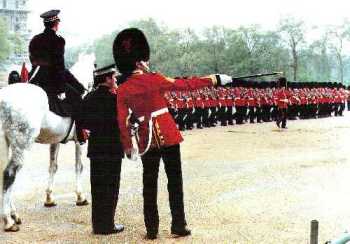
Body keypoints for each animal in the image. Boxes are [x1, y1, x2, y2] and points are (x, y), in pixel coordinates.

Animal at [0, 53, 95, 231]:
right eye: (94, 67)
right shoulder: (79, 141)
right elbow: (79, 166)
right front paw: (80, 197)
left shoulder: (55, 141)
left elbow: (53, 166)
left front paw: (49, 198)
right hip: (21, 146)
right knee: (9, 174)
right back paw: (8, 219)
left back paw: (14, 215)